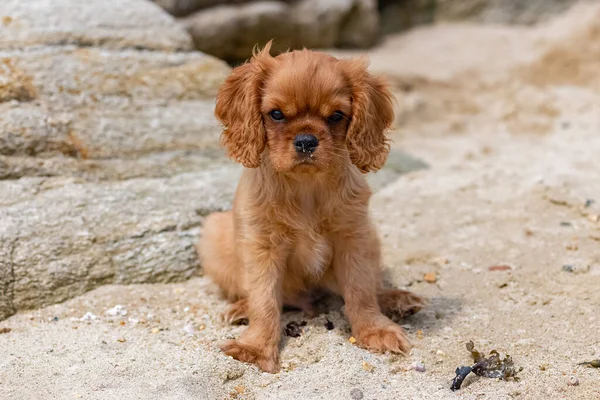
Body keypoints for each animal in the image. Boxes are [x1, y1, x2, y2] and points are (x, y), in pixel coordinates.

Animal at [197, 43, 422, 372]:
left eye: (336, 116)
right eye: (276, 114)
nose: (306, 140)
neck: (306, 187)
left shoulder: (354, 237)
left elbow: (361, 289)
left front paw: (374, 329)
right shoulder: (262, 246)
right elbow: (264, 300)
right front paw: (255, 347)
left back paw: (396, 299)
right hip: (215, 235)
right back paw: (240, 308)